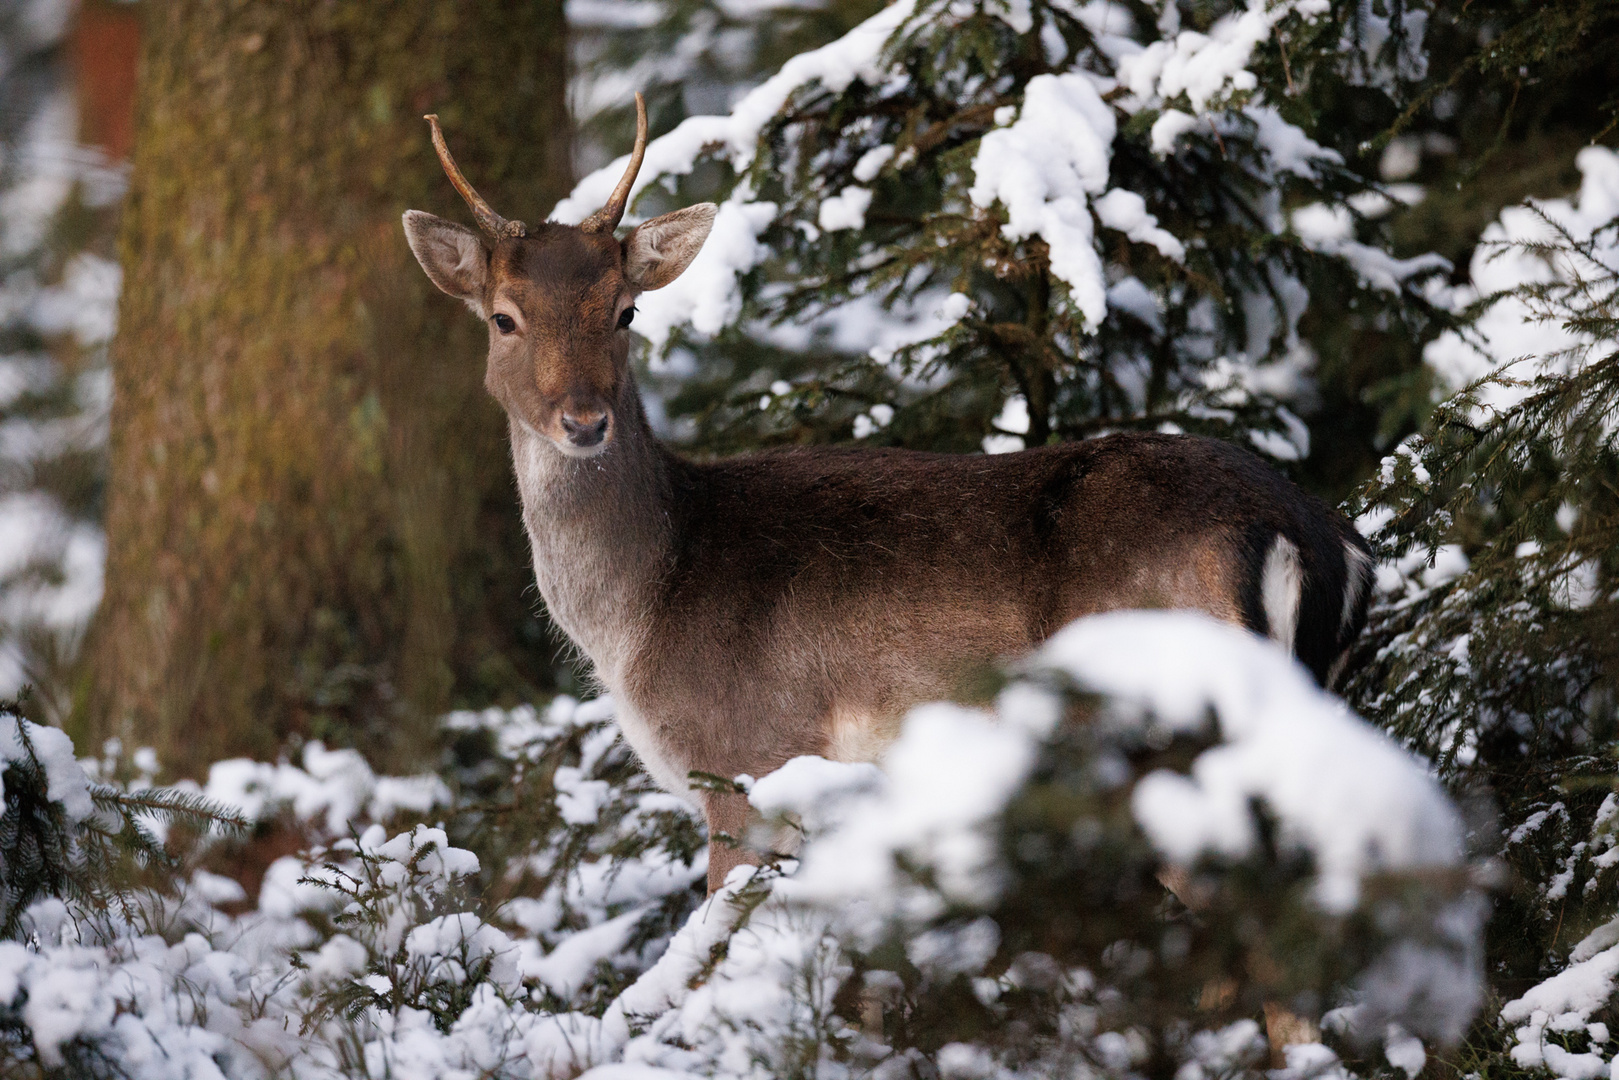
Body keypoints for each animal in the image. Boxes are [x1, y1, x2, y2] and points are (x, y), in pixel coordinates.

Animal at [401, 95, 1366, 893]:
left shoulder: (746, 762)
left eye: (625, 312)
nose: (584, 421)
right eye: (503, 317)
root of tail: (1306, 534)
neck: (641, 615)